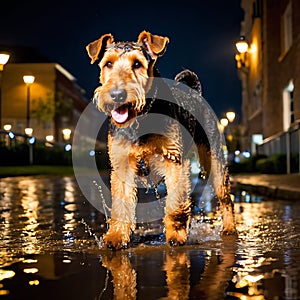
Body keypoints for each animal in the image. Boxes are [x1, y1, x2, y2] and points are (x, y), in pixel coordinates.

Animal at [85, 30, 237, 248]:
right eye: (108, 63)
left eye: (137, 64)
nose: (117, 95)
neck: (140, 119)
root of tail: (196, 93)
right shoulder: (121, 165)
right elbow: (121, 206)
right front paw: (116, 237)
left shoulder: (173, 160)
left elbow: (174, 205)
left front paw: (176, 236)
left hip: (215, 163)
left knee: (226, 199)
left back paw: (229, 228)